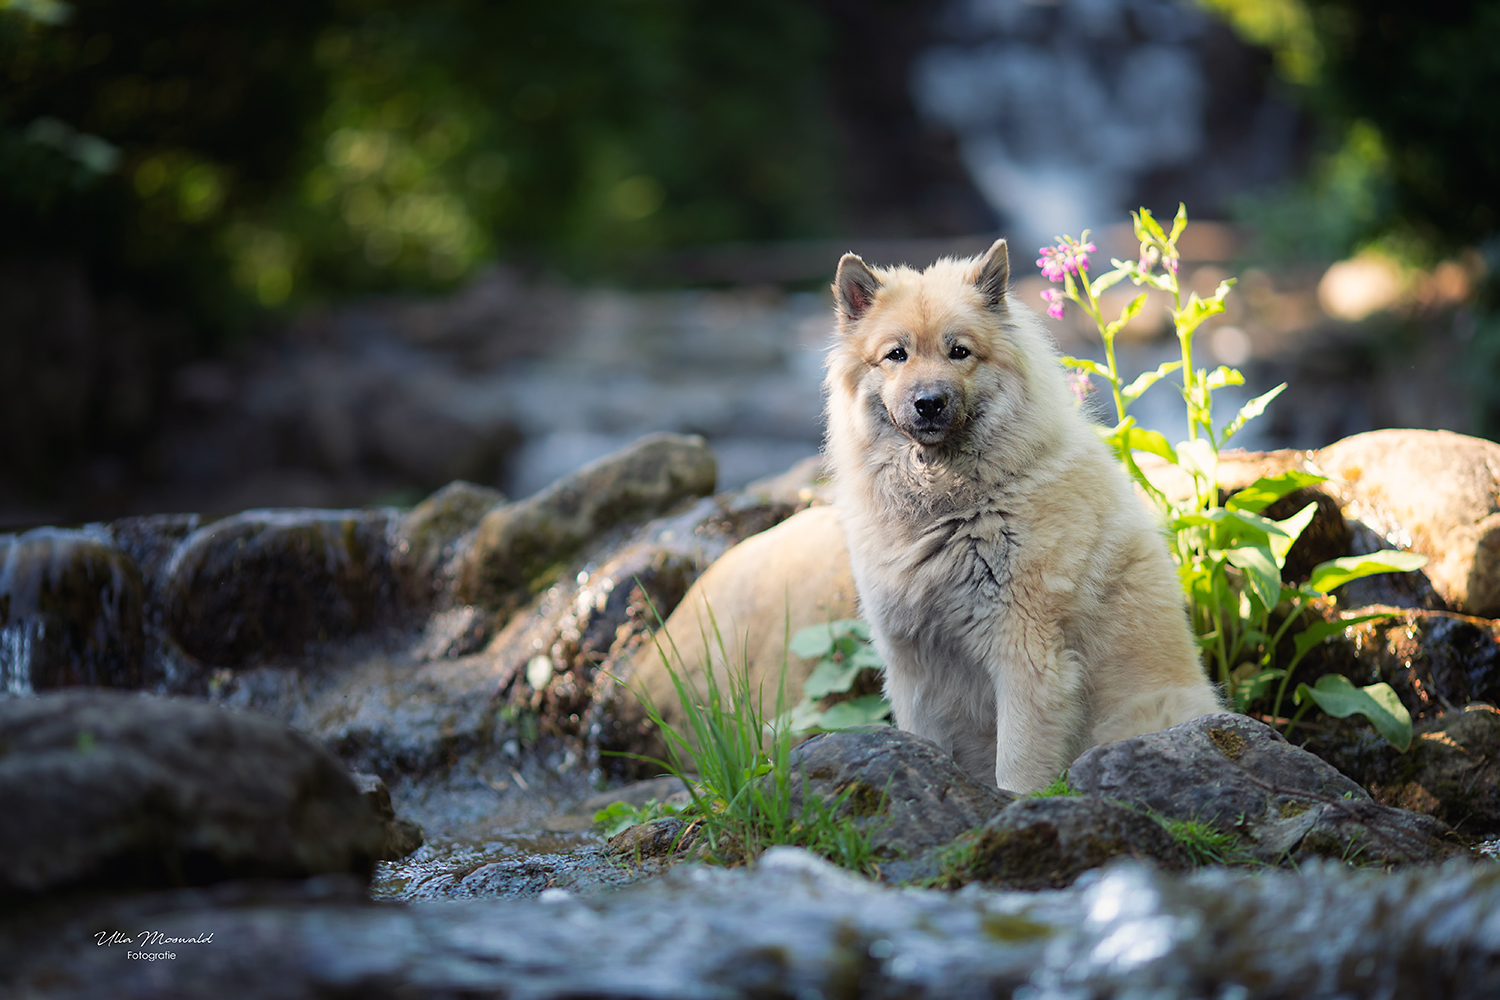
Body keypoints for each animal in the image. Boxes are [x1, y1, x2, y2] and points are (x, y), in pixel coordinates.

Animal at [828, 238, 1224, 791]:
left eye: (959, 351)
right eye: (896, 354)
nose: (929, 402)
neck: (949, 504)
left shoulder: (1025, 656)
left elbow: (1017, 768)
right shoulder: (911, 665)